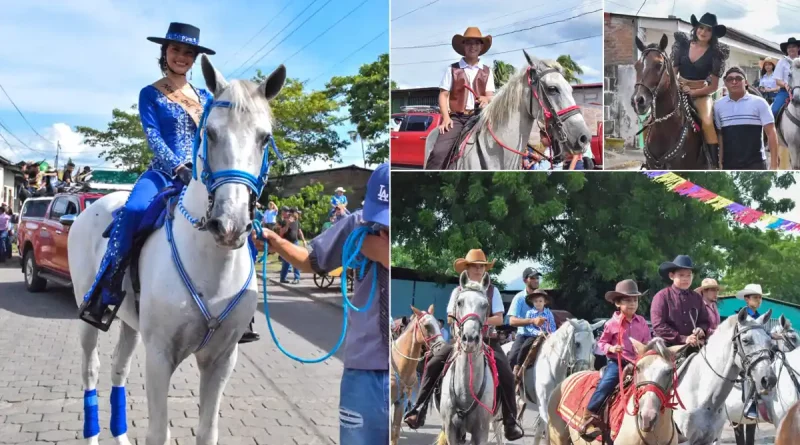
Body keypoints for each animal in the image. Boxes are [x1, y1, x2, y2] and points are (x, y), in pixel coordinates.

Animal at [68, 56, 288, 444]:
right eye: (210, 133)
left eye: (265, 138)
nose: (230, 225)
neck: (211, 267)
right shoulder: (159, 355)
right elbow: (159, 432)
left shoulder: (222, 359)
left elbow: (207, 431)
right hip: (87, 315)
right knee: (90, 371)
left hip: (129, 322)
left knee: (118, 369)